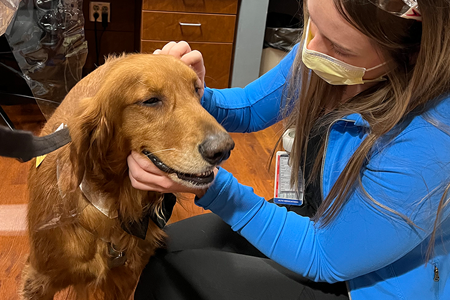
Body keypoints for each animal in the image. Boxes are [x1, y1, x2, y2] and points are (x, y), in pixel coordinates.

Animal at [19, 54, 234, 300]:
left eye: (197, 89)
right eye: (151, 100)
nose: (223, 150)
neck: (113, 203)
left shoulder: (125, 279)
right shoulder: (39, 280)